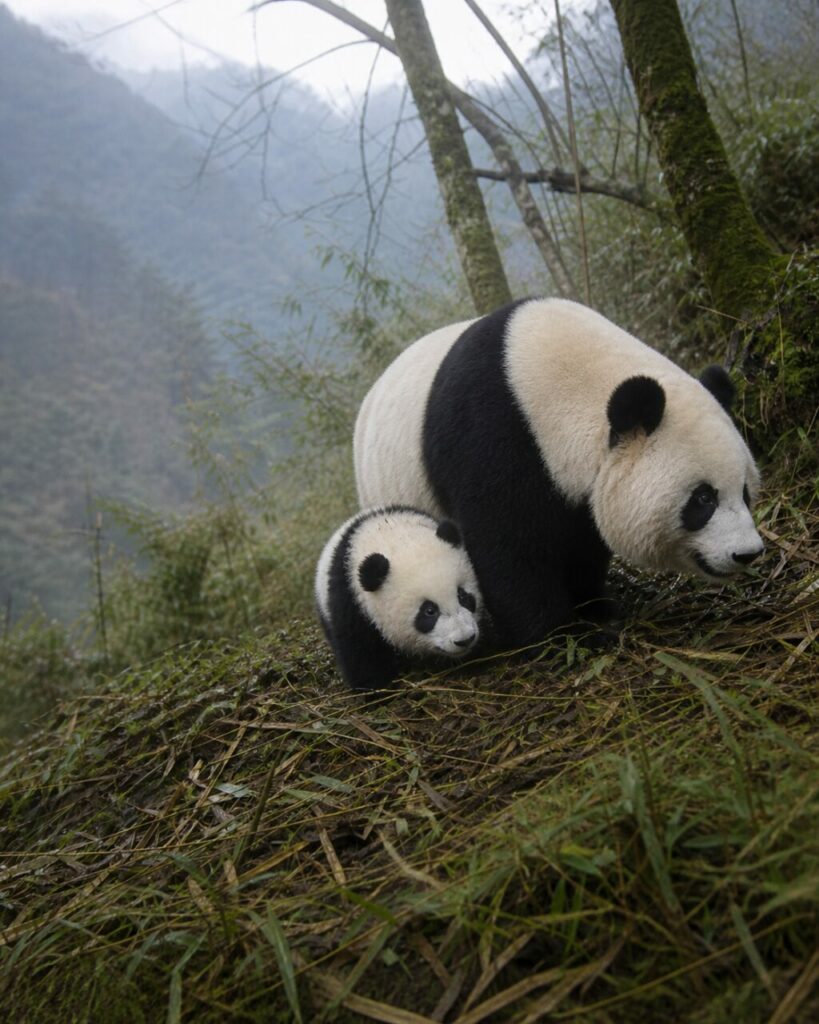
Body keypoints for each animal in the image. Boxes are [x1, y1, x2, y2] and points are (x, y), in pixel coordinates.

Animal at [315, 506, 483, 691]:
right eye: (429, 611)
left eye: (462, 595)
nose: (465, 639)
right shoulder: (350, 600)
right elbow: (359, 650)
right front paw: (375, 690)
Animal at [354, 298, 764, 650]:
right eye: (703, 498)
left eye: (744, 492)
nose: (748, 553)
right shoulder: (491, 438)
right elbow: (509, 550)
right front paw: (564, 635)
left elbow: (584, 540)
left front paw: (596, 606)